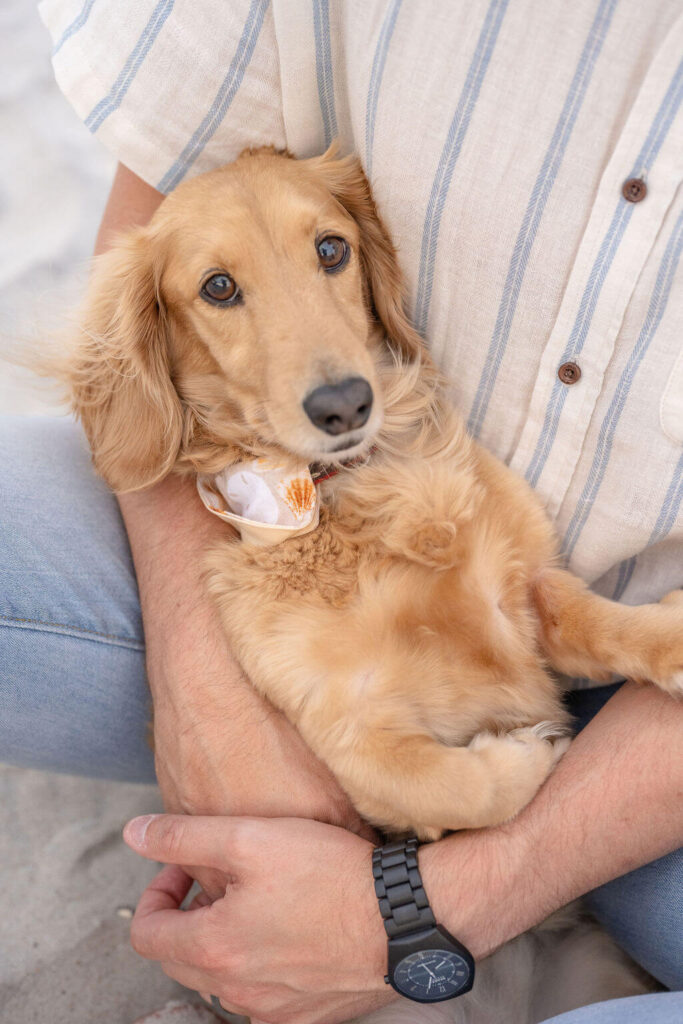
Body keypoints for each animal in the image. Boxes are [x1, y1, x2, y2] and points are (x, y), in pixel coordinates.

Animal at [65, 148, 679, 1019]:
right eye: (217, 287)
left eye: (331, 249)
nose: (344, 403)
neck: (352, 501)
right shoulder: (345, 731)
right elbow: (446, 786)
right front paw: (526, 757)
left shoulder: (522, 589)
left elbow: (599, 619)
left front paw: (671, 639)